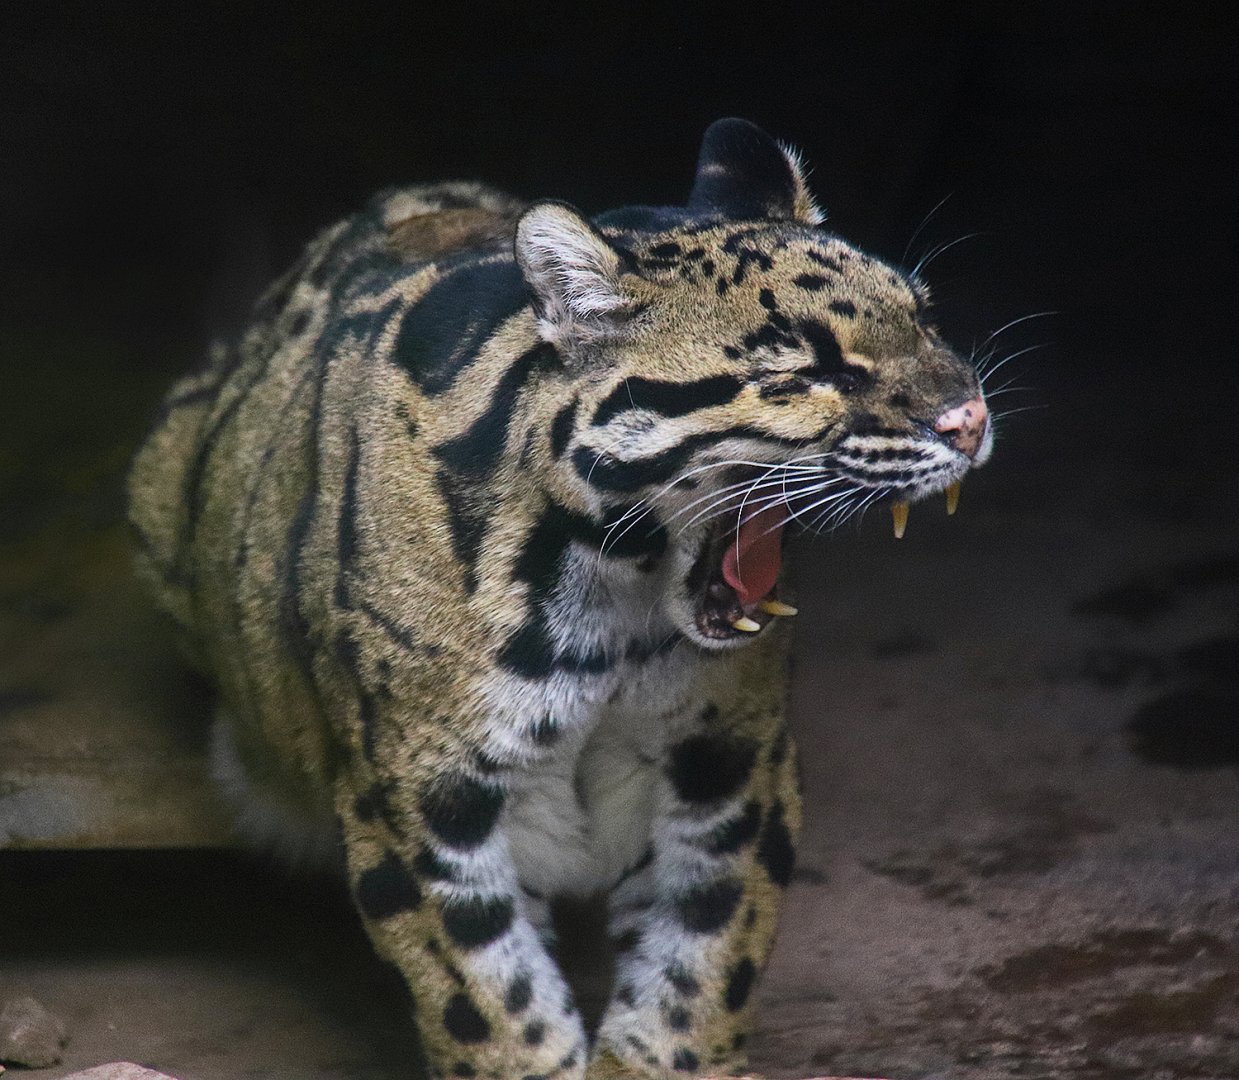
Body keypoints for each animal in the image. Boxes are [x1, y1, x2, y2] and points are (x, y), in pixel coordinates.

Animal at [127, 117, 992, 1080]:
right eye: (809, 369)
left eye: (923, 317)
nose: (970, 419)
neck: (614, 600)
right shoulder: (419, 802)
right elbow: (490, 1003)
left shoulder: (732, 758)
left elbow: (699, 965)